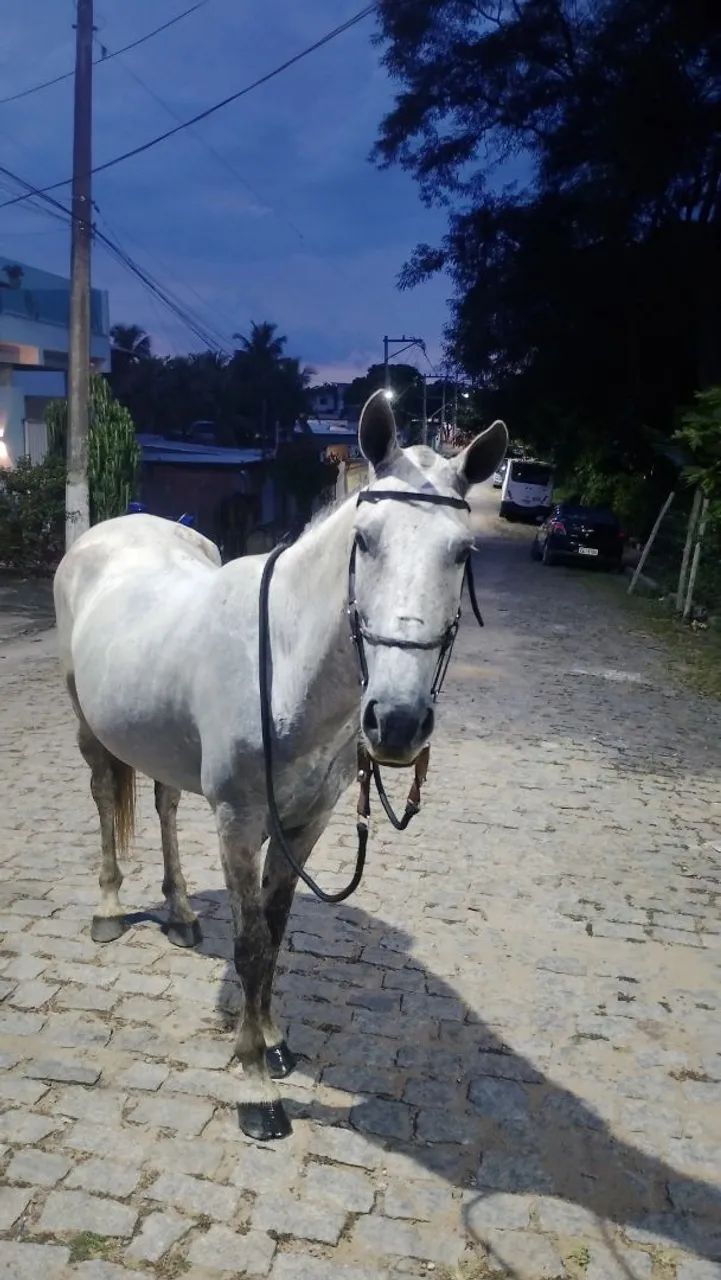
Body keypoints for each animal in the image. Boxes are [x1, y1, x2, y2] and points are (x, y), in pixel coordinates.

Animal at [53, 389, 507, 1141]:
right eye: (365, 540)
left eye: (462, 552)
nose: (397, 721)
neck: (283, 662)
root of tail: (115, 528)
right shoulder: (239, 823)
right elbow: (251, 945)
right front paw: (255, 1088)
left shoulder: (305, 823)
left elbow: (276, 930)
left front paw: (268, 1040)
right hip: (89, 725)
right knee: (100, 796)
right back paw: (109, 908)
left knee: (164, 805)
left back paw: (179, 911)